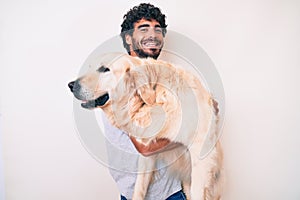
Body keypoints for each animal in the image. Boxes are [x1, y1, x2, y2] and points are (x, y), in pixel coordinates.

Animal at [68, 52, 223, 199]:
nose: (71, 85)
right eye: (89, 67)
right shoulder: (147, 152)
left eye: (104, 69)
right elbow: (140, 185)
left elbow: (198, 190)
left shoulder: (201, 150)